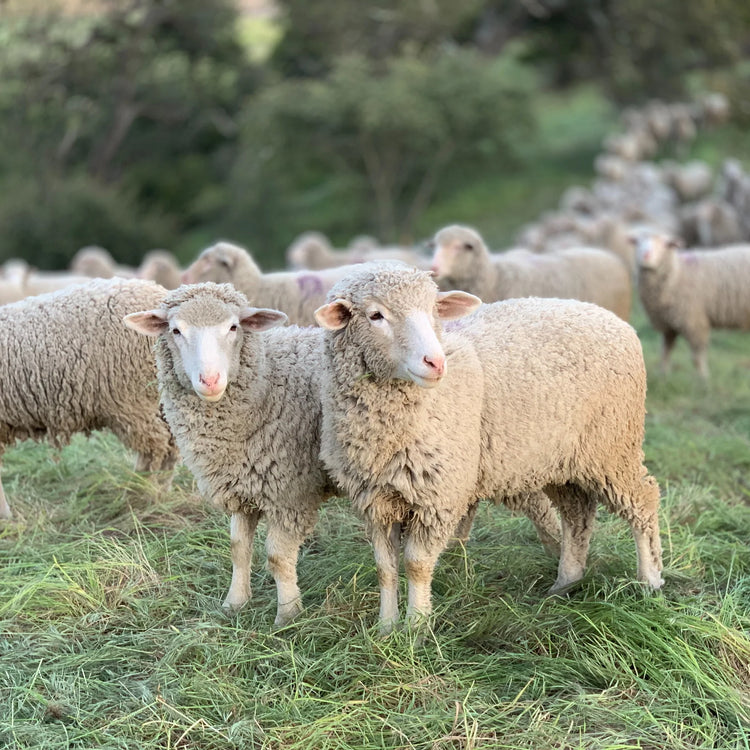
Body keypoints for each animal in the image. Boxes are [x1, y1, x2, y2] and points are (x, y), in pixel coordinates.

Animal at [0, 278, 178, 520]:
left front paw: (5, 516)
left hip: (132, 400)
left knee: (155, 447)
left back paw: (139, 494)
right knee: (171, 444)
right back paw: (159, 490)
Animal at [124, 282, 337, 625]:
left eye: (234, 327)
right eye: (176, 330)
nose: (210, 380)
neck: (268, 382)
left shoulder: (291, 493)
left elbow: (277, 557)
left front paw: (288, 615)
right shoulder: (240, 484)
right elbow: (237, 548)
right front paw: (234, 603)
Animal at [315, 262, 662, 630]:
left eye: (434, 310)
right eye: (376, 315)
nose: (435, 362)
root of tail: (613, 319)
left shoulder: (439, 496)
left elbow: (416, 565)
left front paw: (417, 628)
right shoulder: (374, 500)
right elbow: (385, 568)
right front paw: (385, 628)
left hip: (612, 446)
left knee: (642, 501)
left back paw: (650, 581)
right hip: (561, 458)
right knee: (577, 514)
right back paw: (566, 582)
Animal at [633, 231, 750, 378]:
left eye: (666, 244)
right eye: (637, 242)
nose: (646, 255)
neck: (677, 273)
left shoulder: (694, 321)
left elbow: (697, 356)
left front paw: (703, 378)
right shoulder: (668, 325)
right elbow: (665, 350)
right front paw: (663, 375)